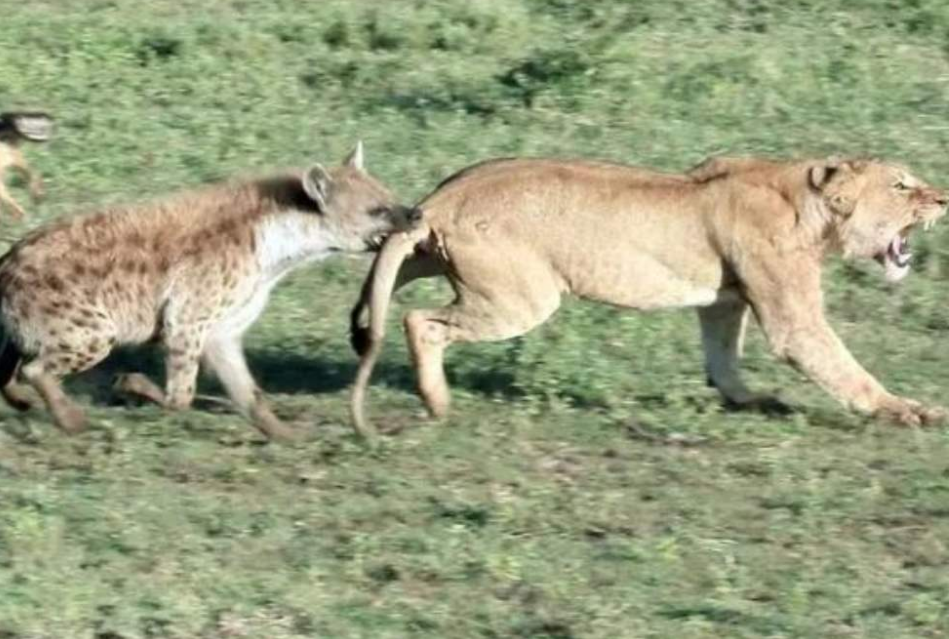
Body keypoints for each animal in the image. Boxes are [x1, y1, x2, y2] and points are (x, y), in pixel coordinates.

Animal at [348, 154, 948, 440]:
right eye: (901, 185)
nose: (943, 198)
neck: (808, 200)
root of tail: (443, 198)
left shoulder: (724, 301)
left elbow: (723, 357)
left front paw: (749, 399)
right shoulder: (791, 319)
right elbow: (845, 369)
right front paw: (911, 411)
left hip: (429, 255)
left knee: (384, 278)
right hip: (522, 299)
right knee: (419, 321)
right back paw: (437, 401)